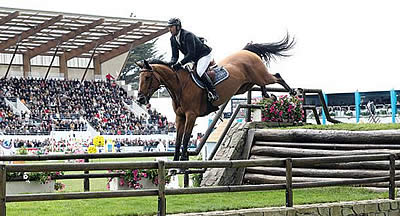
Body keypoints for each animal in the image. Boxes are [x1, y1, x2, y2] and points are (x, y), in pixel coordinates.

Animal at [138, 34, 296, 161]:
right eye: (139, 78)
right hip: (245, 85)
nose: (140, 99)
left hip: (260, 75)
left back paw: (292, 92)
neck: (179, 86)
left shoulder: (191, 115)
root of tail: (247, 52)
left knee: (276, 76)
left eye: (147, 77)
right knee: (262, 83)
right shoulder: (180, 116)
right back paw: (268, 95)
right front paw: (175, 160)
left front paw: (182, 160)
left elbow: (186, 137)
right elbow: (178, 138)